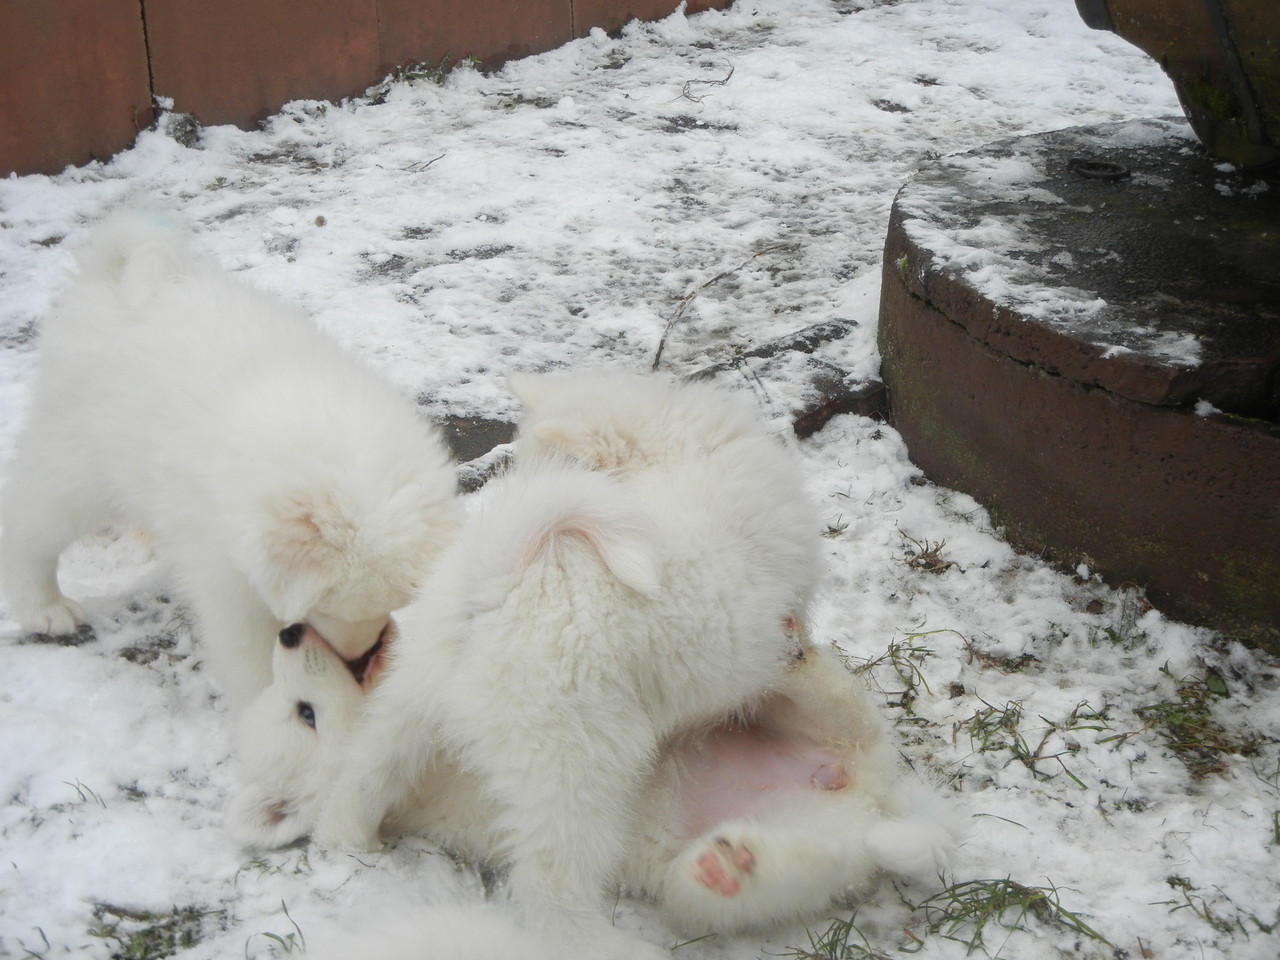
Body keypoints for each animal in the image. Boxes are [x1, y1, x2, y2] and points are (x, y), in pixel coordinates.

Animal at [0, 209, 460, 706]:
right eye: (331, 606)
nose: (358, 659)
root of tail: (105, 279)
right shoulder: (224, 574)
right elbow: (254, 661)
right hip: (78, 460)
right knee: (27, 524)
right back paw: (45, 608)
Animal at [230, 627, 957, 952]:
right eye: (305, 713)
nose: (288, 632)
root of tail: (868, 800)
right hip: (797, 853)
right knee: (775, 875)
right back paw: (731, 866)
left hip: (822, 739)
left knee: (843, 714)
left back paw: (795, 663)